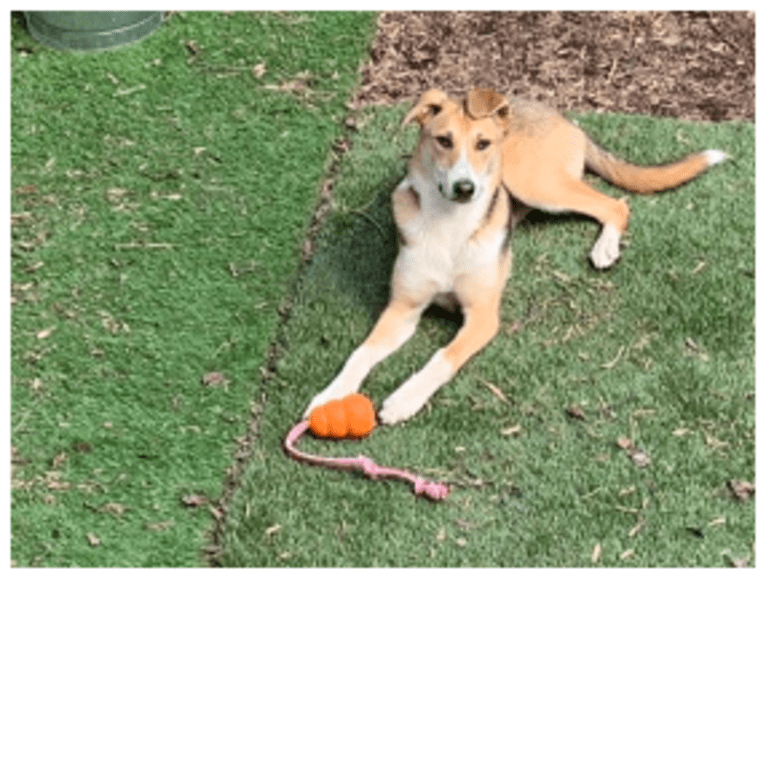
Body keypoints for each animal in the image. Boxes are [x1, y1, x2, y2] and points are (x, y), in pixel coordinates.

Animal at [304, 88, 728, 426]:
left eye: (482, 144)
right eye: (443, 140)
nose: (464, 188)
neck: (449, 223)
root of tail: (563, 117)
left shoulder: (483, 317)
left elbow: (444, 356)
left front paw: (406, 398)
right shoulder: (402, 309)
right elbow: (360, 354)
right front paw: (330, 396)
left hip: (534, 182)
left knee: (615, 204)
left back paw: (605, 247)